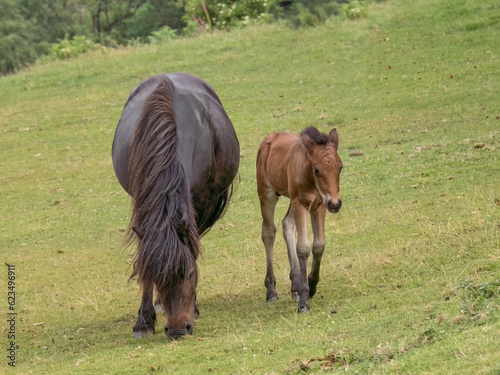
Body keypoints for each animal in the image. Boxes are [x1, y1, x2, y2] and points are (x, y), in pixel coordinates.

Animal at [112, 74, 240, 340]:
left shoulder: (198, 200)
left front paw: (195, 307)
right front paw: (143, 321)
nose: (178, 330)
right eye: (154, 276)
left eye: (190, 274)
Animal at [256, 128, 342, 312]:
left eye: (340, 167)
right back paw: (271, 291)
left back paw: (295, 284)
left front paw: (311, 285)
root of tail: (270, 137)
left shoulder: (319, 205)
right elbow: (303, 247)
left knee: (287, 224)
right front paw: (304, 300)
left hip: (293, 199)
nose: (335, 204)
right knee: (268, 232)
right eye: (317, 170)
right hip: (267, 193)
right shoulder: (301, 203)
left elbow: (318, 245)